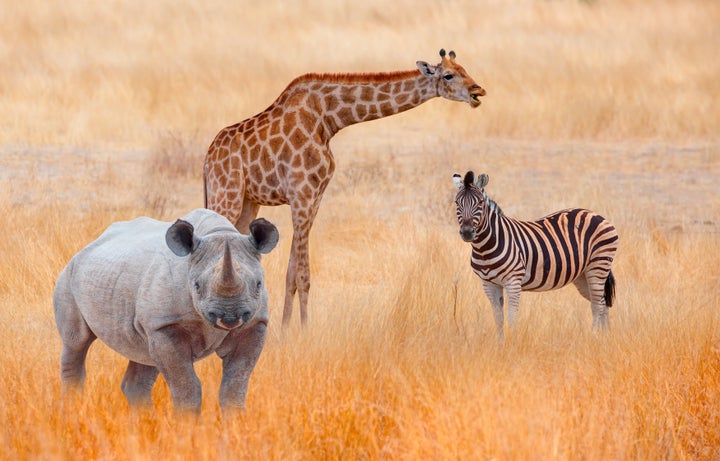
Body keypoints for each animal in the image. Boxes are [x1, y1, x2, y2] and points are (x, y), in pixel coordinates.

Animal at [202, 48, 484, 326]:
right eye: (448, 75)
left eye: (465, 69)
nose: (478, 92)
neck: (329, 117)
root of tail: (208, 159)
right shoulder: (302, 194)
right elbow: (303, 274)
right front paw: (304, 332)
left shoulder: (314, 198)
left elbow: (292, 272)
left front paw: (284, 329)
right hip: (226, 195)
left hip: (247, 203)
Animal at [452, 169, 616, 338]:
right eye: (457, 203)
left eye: (480, 203)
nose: (467, 233)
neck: (485, 248)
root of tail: (594, 213)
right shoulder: (488, 284)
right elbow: (498, 319)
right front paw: (500, 343)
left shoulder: (513, 282)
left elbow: (511, 319)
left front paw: (513, 343)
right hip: (582, 274)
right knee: (603, 303)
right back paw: (605, 338)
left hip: (598, 265)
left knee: (597, 305)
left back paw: (594, 336)